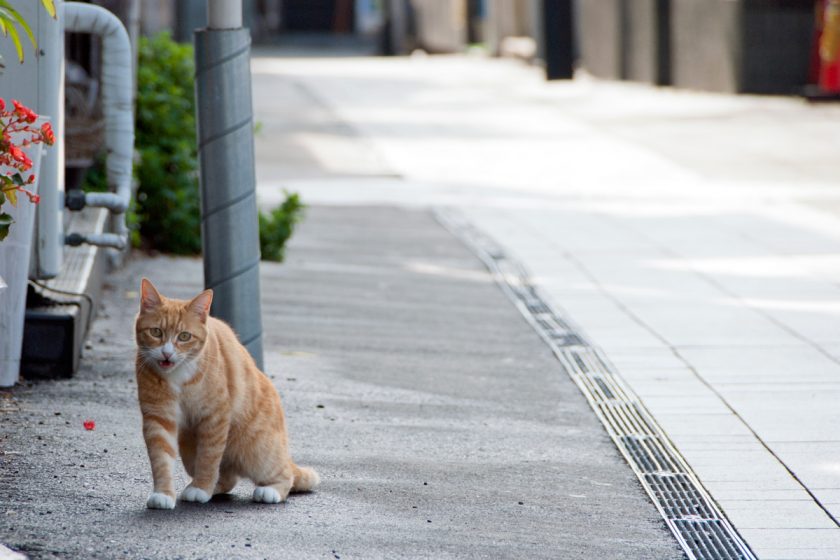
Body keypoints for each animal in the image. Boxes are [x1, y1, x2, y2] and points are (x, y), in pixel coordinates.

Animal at [135, 278, 318, 510]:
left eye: (184, 336)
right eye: (156, 332)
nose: (167, 353)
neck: (179, 374)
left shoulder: (214, 417)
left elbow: (209, 457)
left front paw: (201, 488)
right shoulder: (158, 417)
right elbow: (161, 458)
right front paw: (164, 493)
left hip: (259, 451)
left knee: (285, 475)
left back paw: (269, 491)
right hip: (189, 451)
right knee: (228, 477)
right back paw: (211, 487)